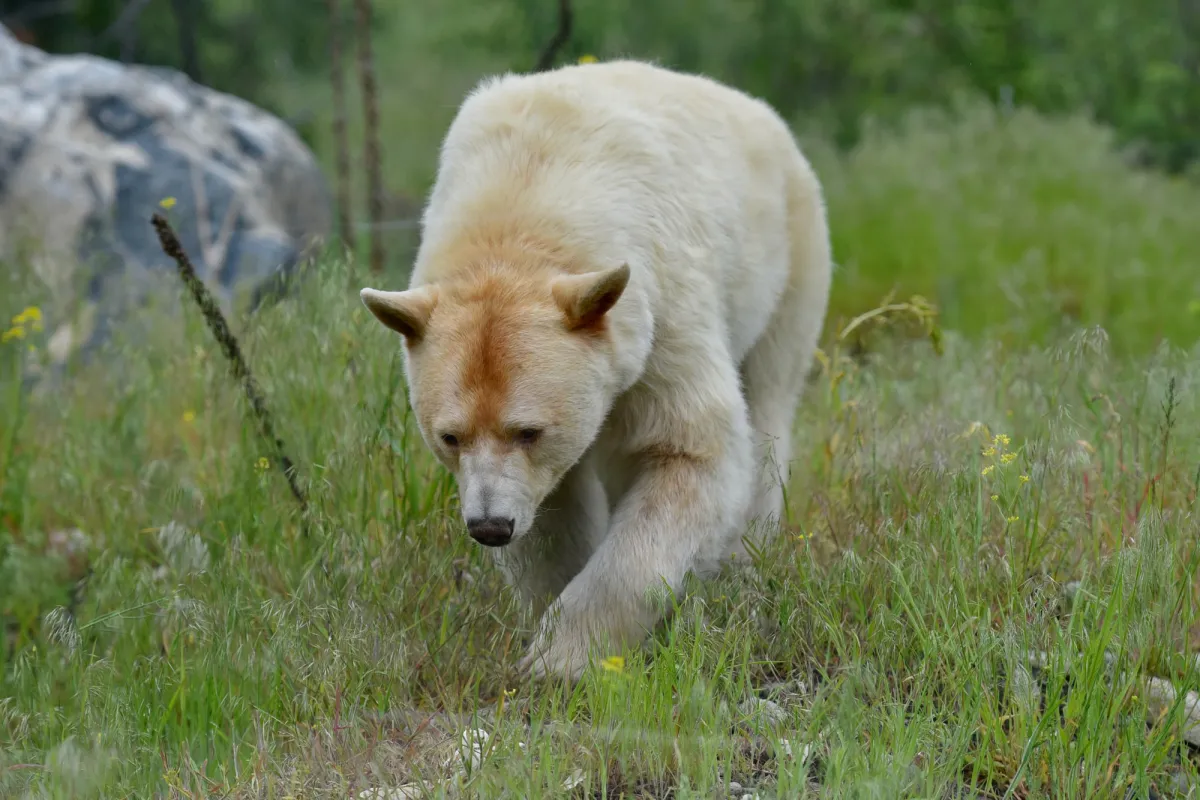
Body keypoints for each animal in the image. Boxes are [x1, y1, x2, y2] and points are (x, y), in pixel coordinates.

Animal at [357, 57, 835, 681]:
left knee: (767, 409)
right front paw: (548, 625)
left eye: (530, 430)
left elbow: (690, 449)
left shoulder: (660, 305)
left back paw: (739, 568)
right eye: (449, 436)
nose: (489, 526)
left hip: (786, 264)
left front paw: (562, 658)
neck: (527, 190)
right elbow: (552, 515)